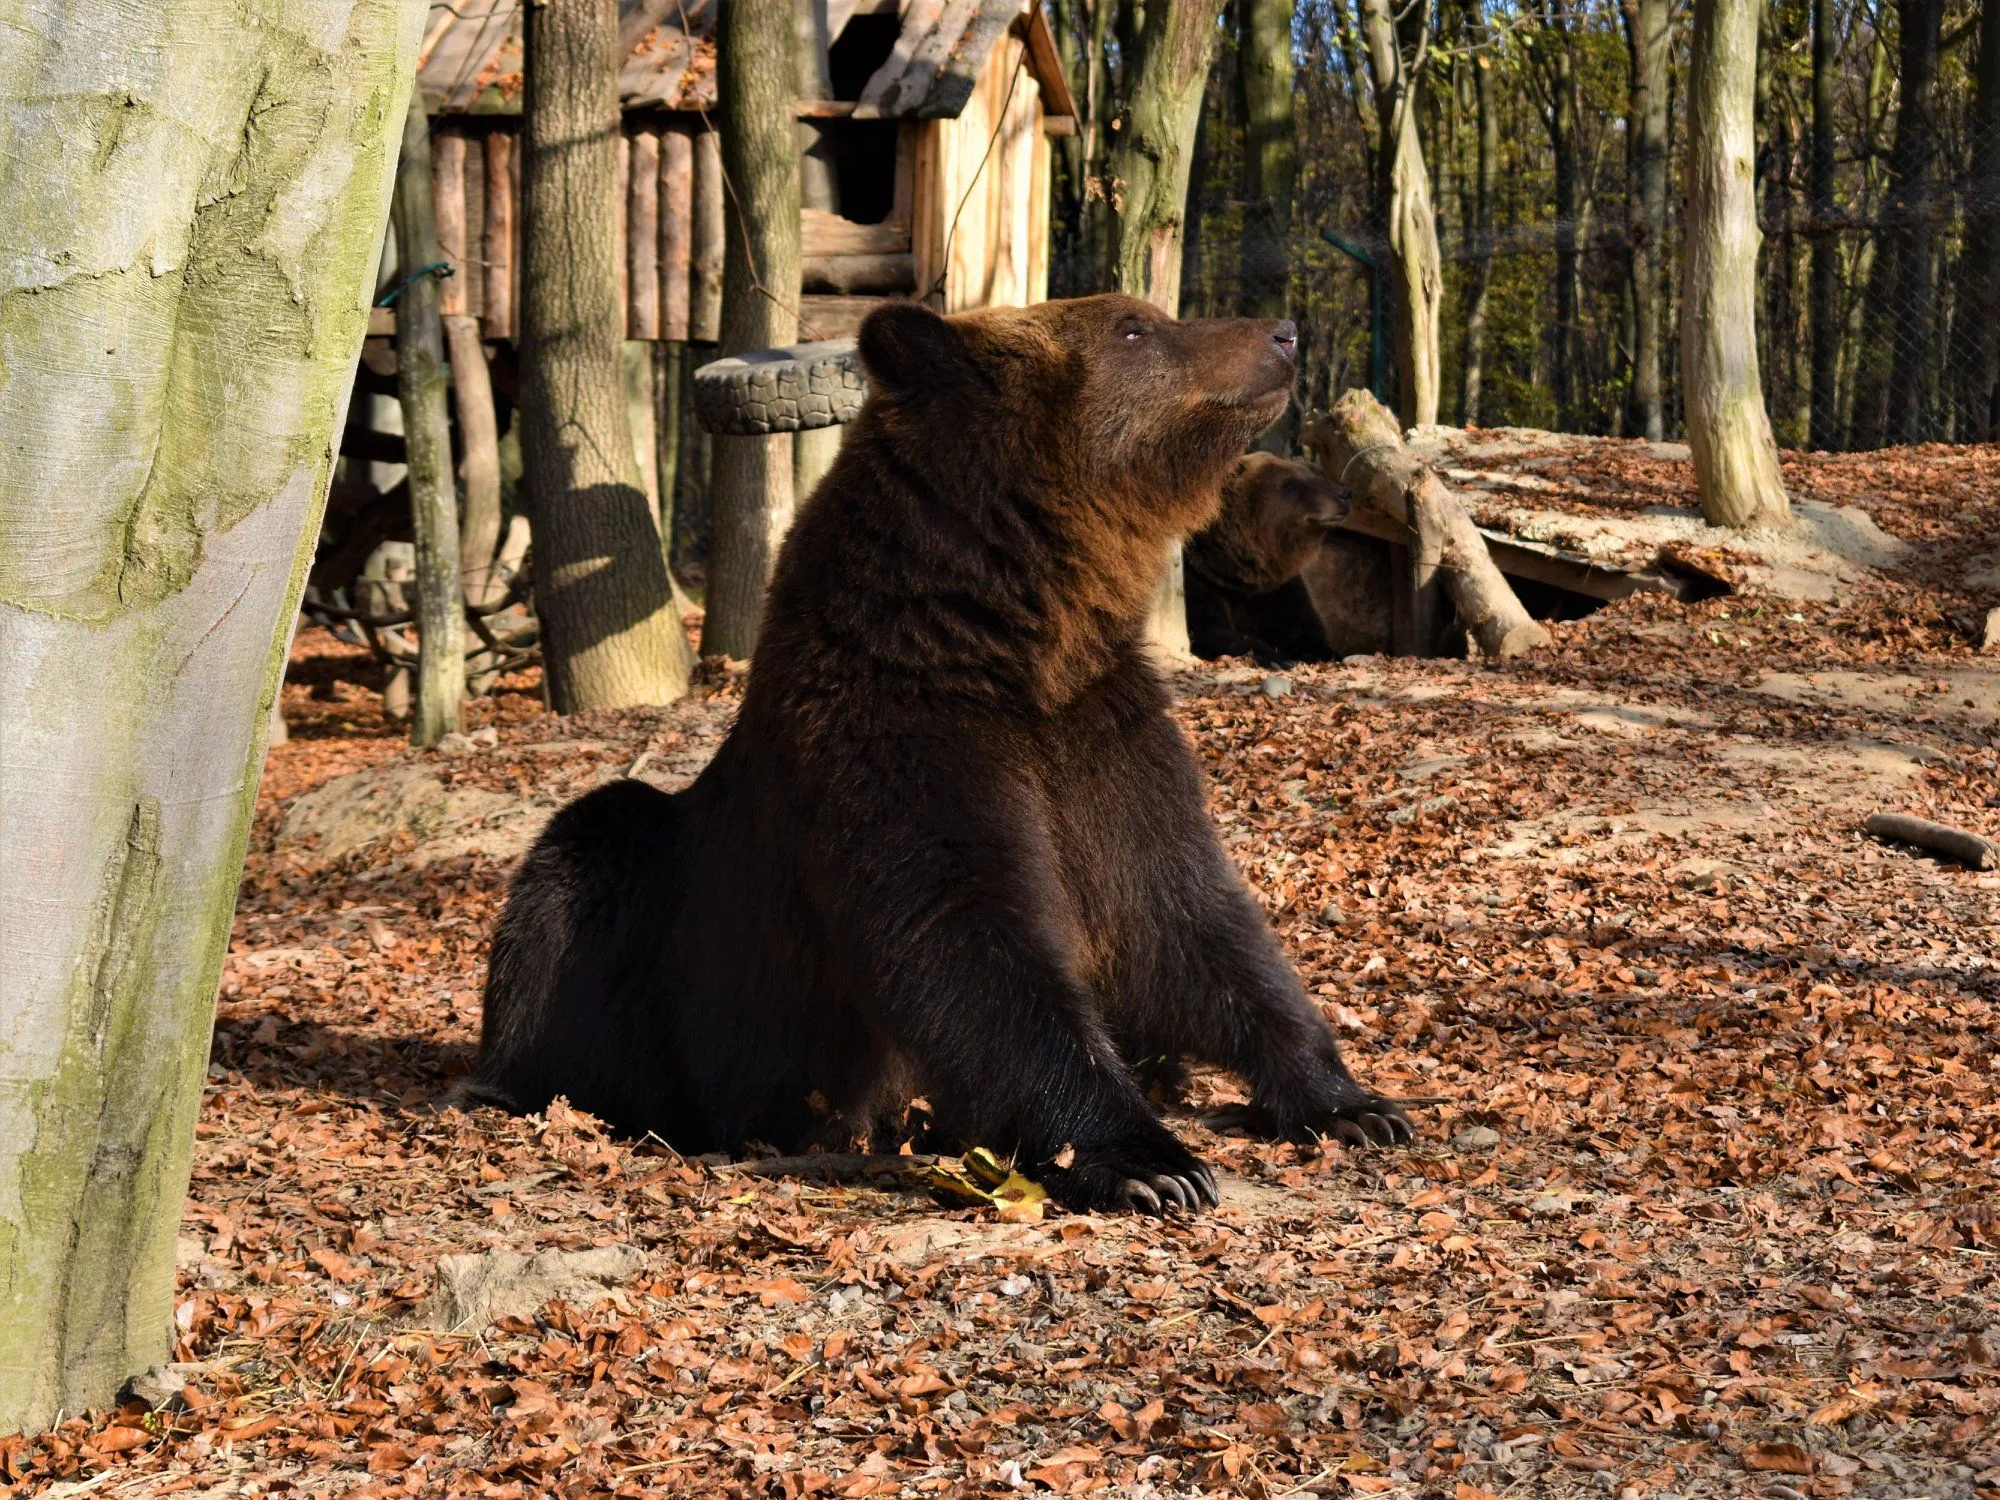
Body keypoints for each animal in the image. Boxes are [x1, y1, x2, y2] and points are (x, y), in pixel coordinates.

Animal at [1176, 450, 1352, 668]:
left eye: (1313, 474)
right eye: (1290, 484)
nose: (1344, 493)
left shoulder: (1275, 587)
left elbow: (1302, 629)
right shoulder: (1199, 580)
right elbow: (1208, 629)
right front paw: (1276, 658)